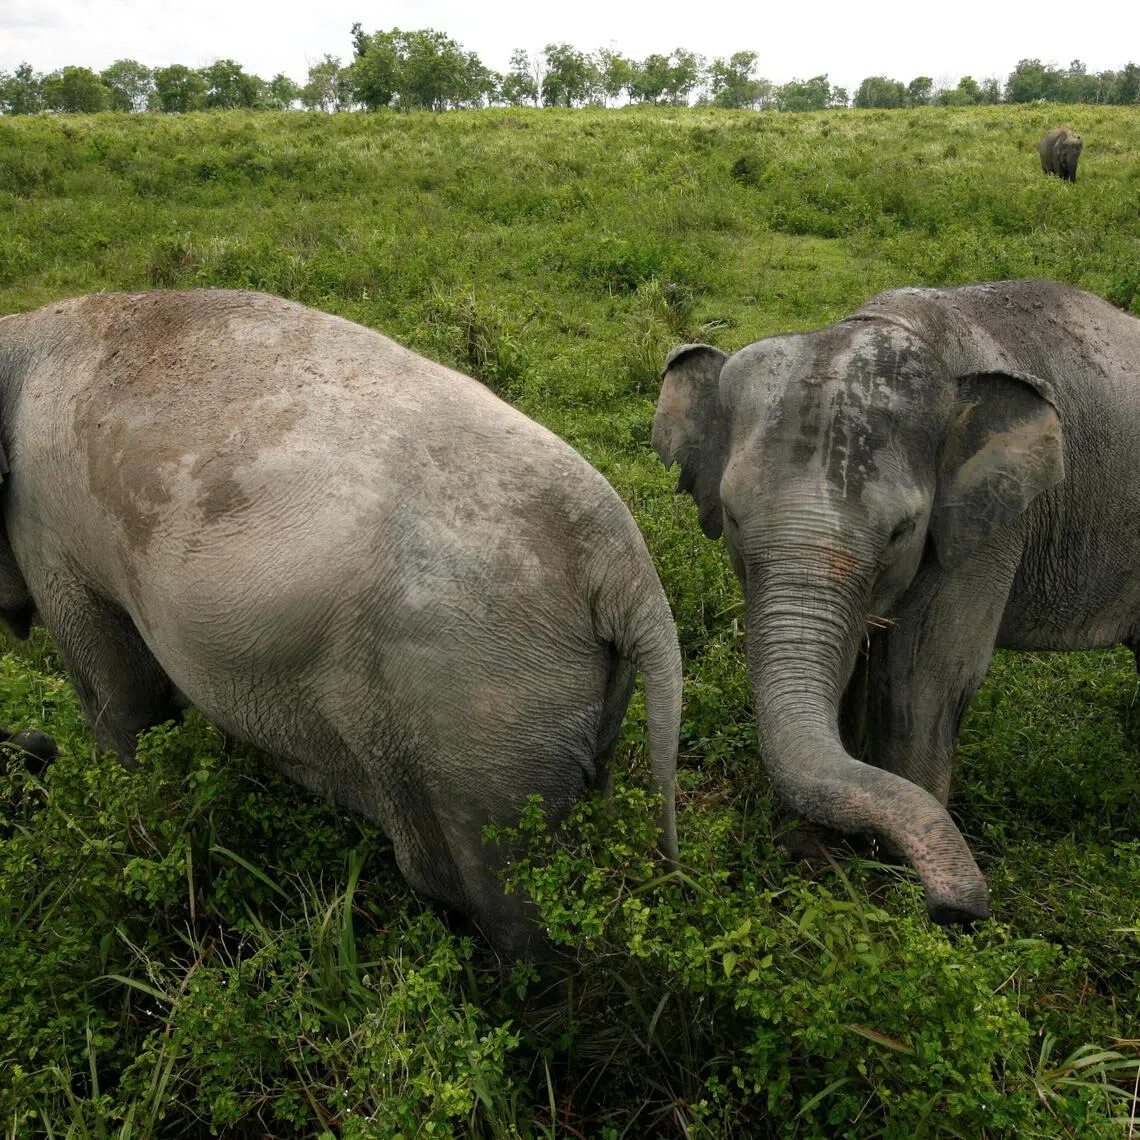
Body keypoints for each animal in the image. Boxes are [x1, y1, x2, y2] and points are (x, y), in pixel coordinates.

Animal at [0, 288, 681, 956]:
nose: (35, 749)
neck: (28, 328)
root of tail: (625, 569)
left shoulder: (48, 530)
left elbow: (123, 701)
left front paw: (131, 804)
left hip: (486, 716)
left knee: (512, 898)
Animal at [653, 277, 1140, 925]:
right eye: (731, 516)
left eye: (900, 532)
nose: (959, 909)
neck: (894, 326)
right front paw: (823, 848)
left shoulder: (990, 526)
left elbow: (924, 675)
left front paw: (889, 879)